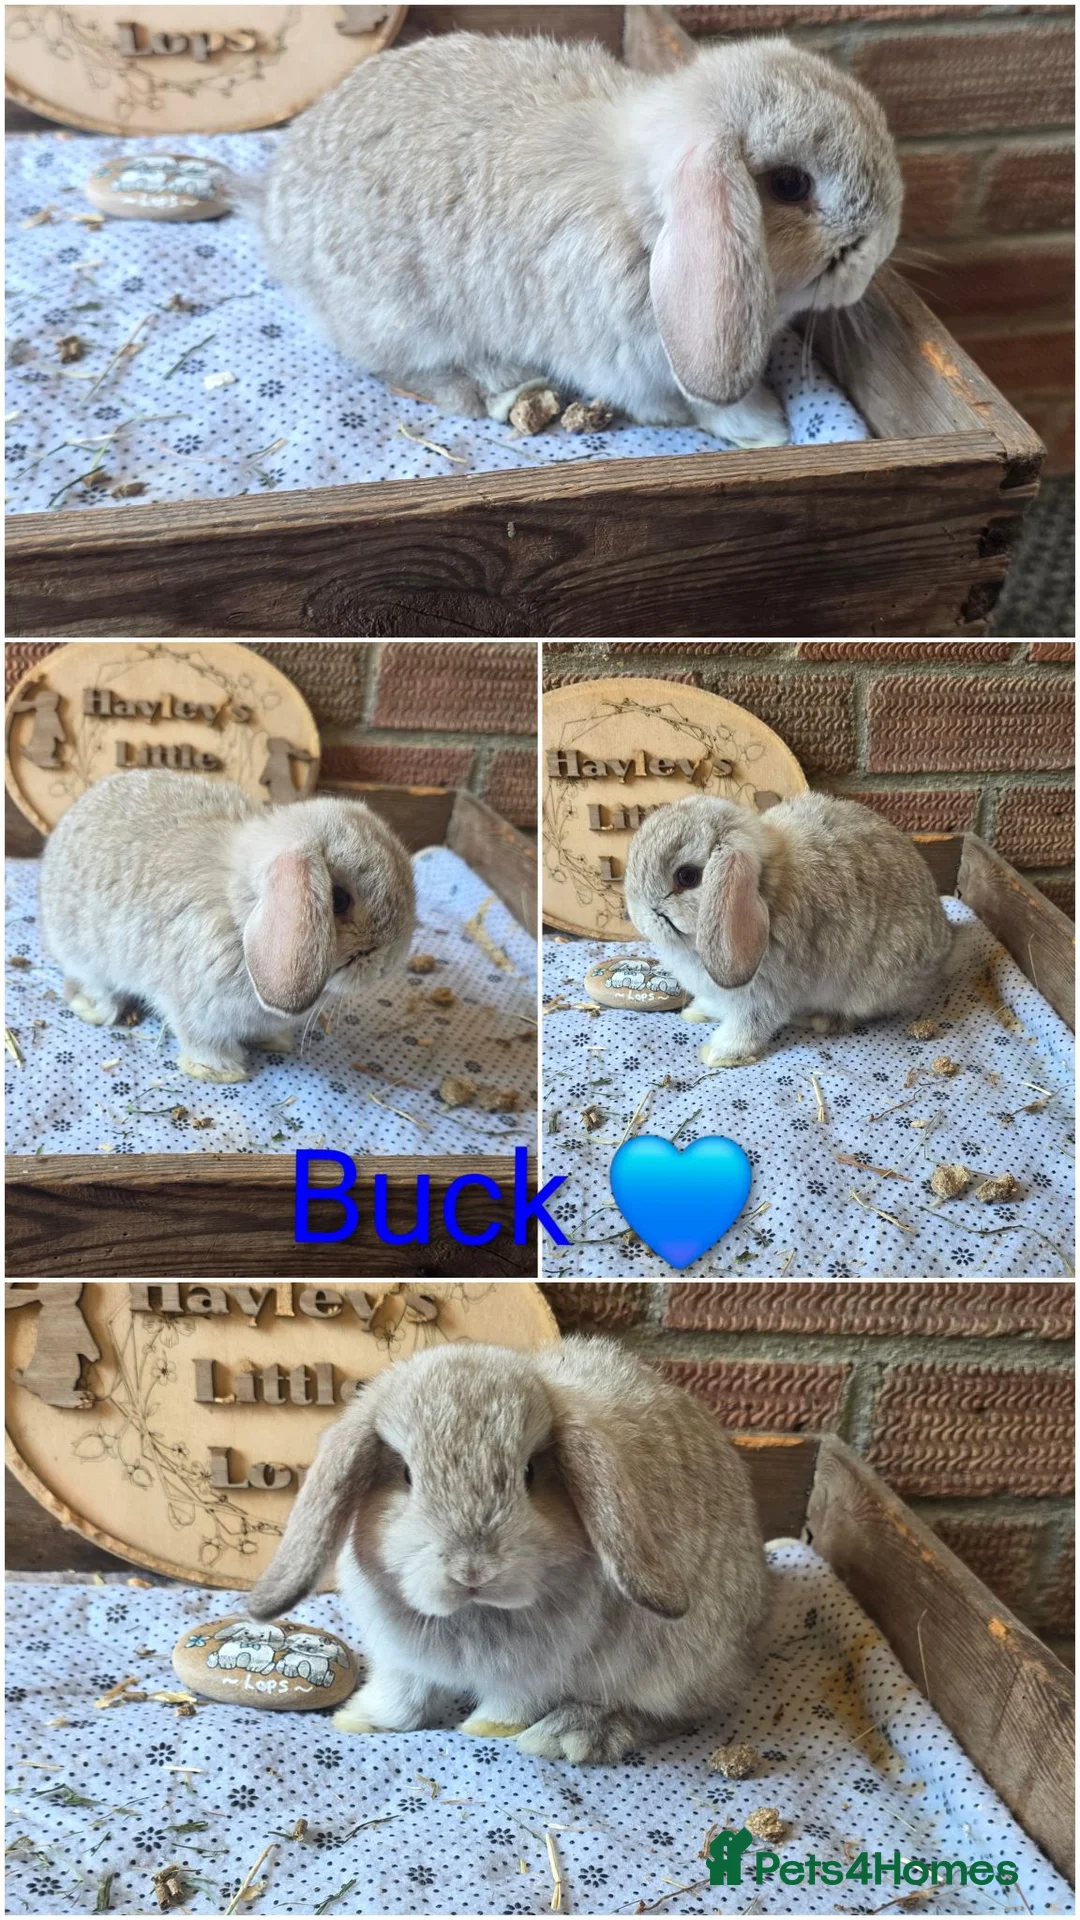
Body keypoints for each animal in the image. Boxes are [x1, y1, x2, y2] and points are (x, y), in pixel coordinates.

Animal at [38, 769, 414, 1083]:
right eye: (339, 900)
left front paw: (275, 1041)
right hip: (84, 955)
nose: (389, 963)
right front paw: (221, 1072)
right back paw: (95, 1008)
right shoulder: (195, 1010)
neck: (240, 919)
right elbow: (202, 1040)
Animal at [247, 1336, 769, 1765]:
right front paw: (358, 1719)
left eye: (530, 1475)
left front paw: (485, 1729)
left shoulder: (535, 1674)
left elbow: (512, 1702)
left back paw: (574, 1733)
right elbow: (401, 1698)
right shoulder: (399, 1660)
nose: (472, 1570)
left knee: (675, 1714)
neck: (471, 1614)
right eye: (407, 1475)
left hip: (677, 1666)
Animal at [249, 31, 902, 450]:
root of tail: (271, 207)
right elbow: (691, 405)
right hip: (403, 323)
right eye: (790, 184)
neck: (647, 226)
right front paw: (765, 427)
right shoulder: (634, 363)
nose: (879, 250)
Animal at [624, 791, 955, 1068]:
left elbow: (750, 1026)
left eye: (687, 876)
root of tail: (945, 947)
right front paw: (697, 1011)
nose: (637, 916)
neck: (766, 890)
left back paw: (821, 1019)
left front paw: (719, 1053)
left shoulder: (764, 995)